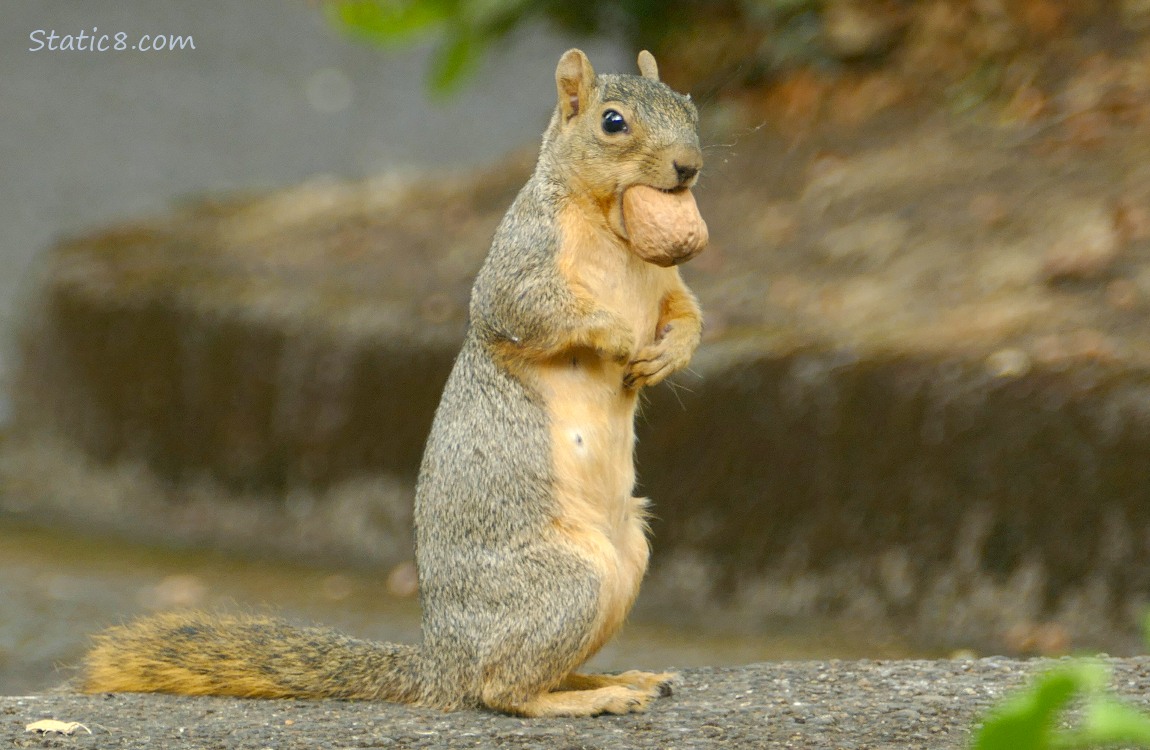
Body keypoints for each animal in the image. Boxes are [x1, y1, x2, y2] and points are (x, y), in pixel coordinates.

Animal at [80, 48, 706, 718]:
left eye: (688, 105)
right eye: (613, 122)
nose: (689, 167)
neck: (615, 230)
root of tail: (442, 662)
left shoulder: (667, 285)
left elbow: (689, 314)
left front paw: (669, 355)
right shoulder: (523, 260)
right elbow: (530, 309)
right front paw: (615, 335)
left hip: (627, 562)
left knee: (536, 673)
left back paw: (620, 679)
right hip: (567, 582)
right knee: (504, 688)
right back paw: (589, 699)